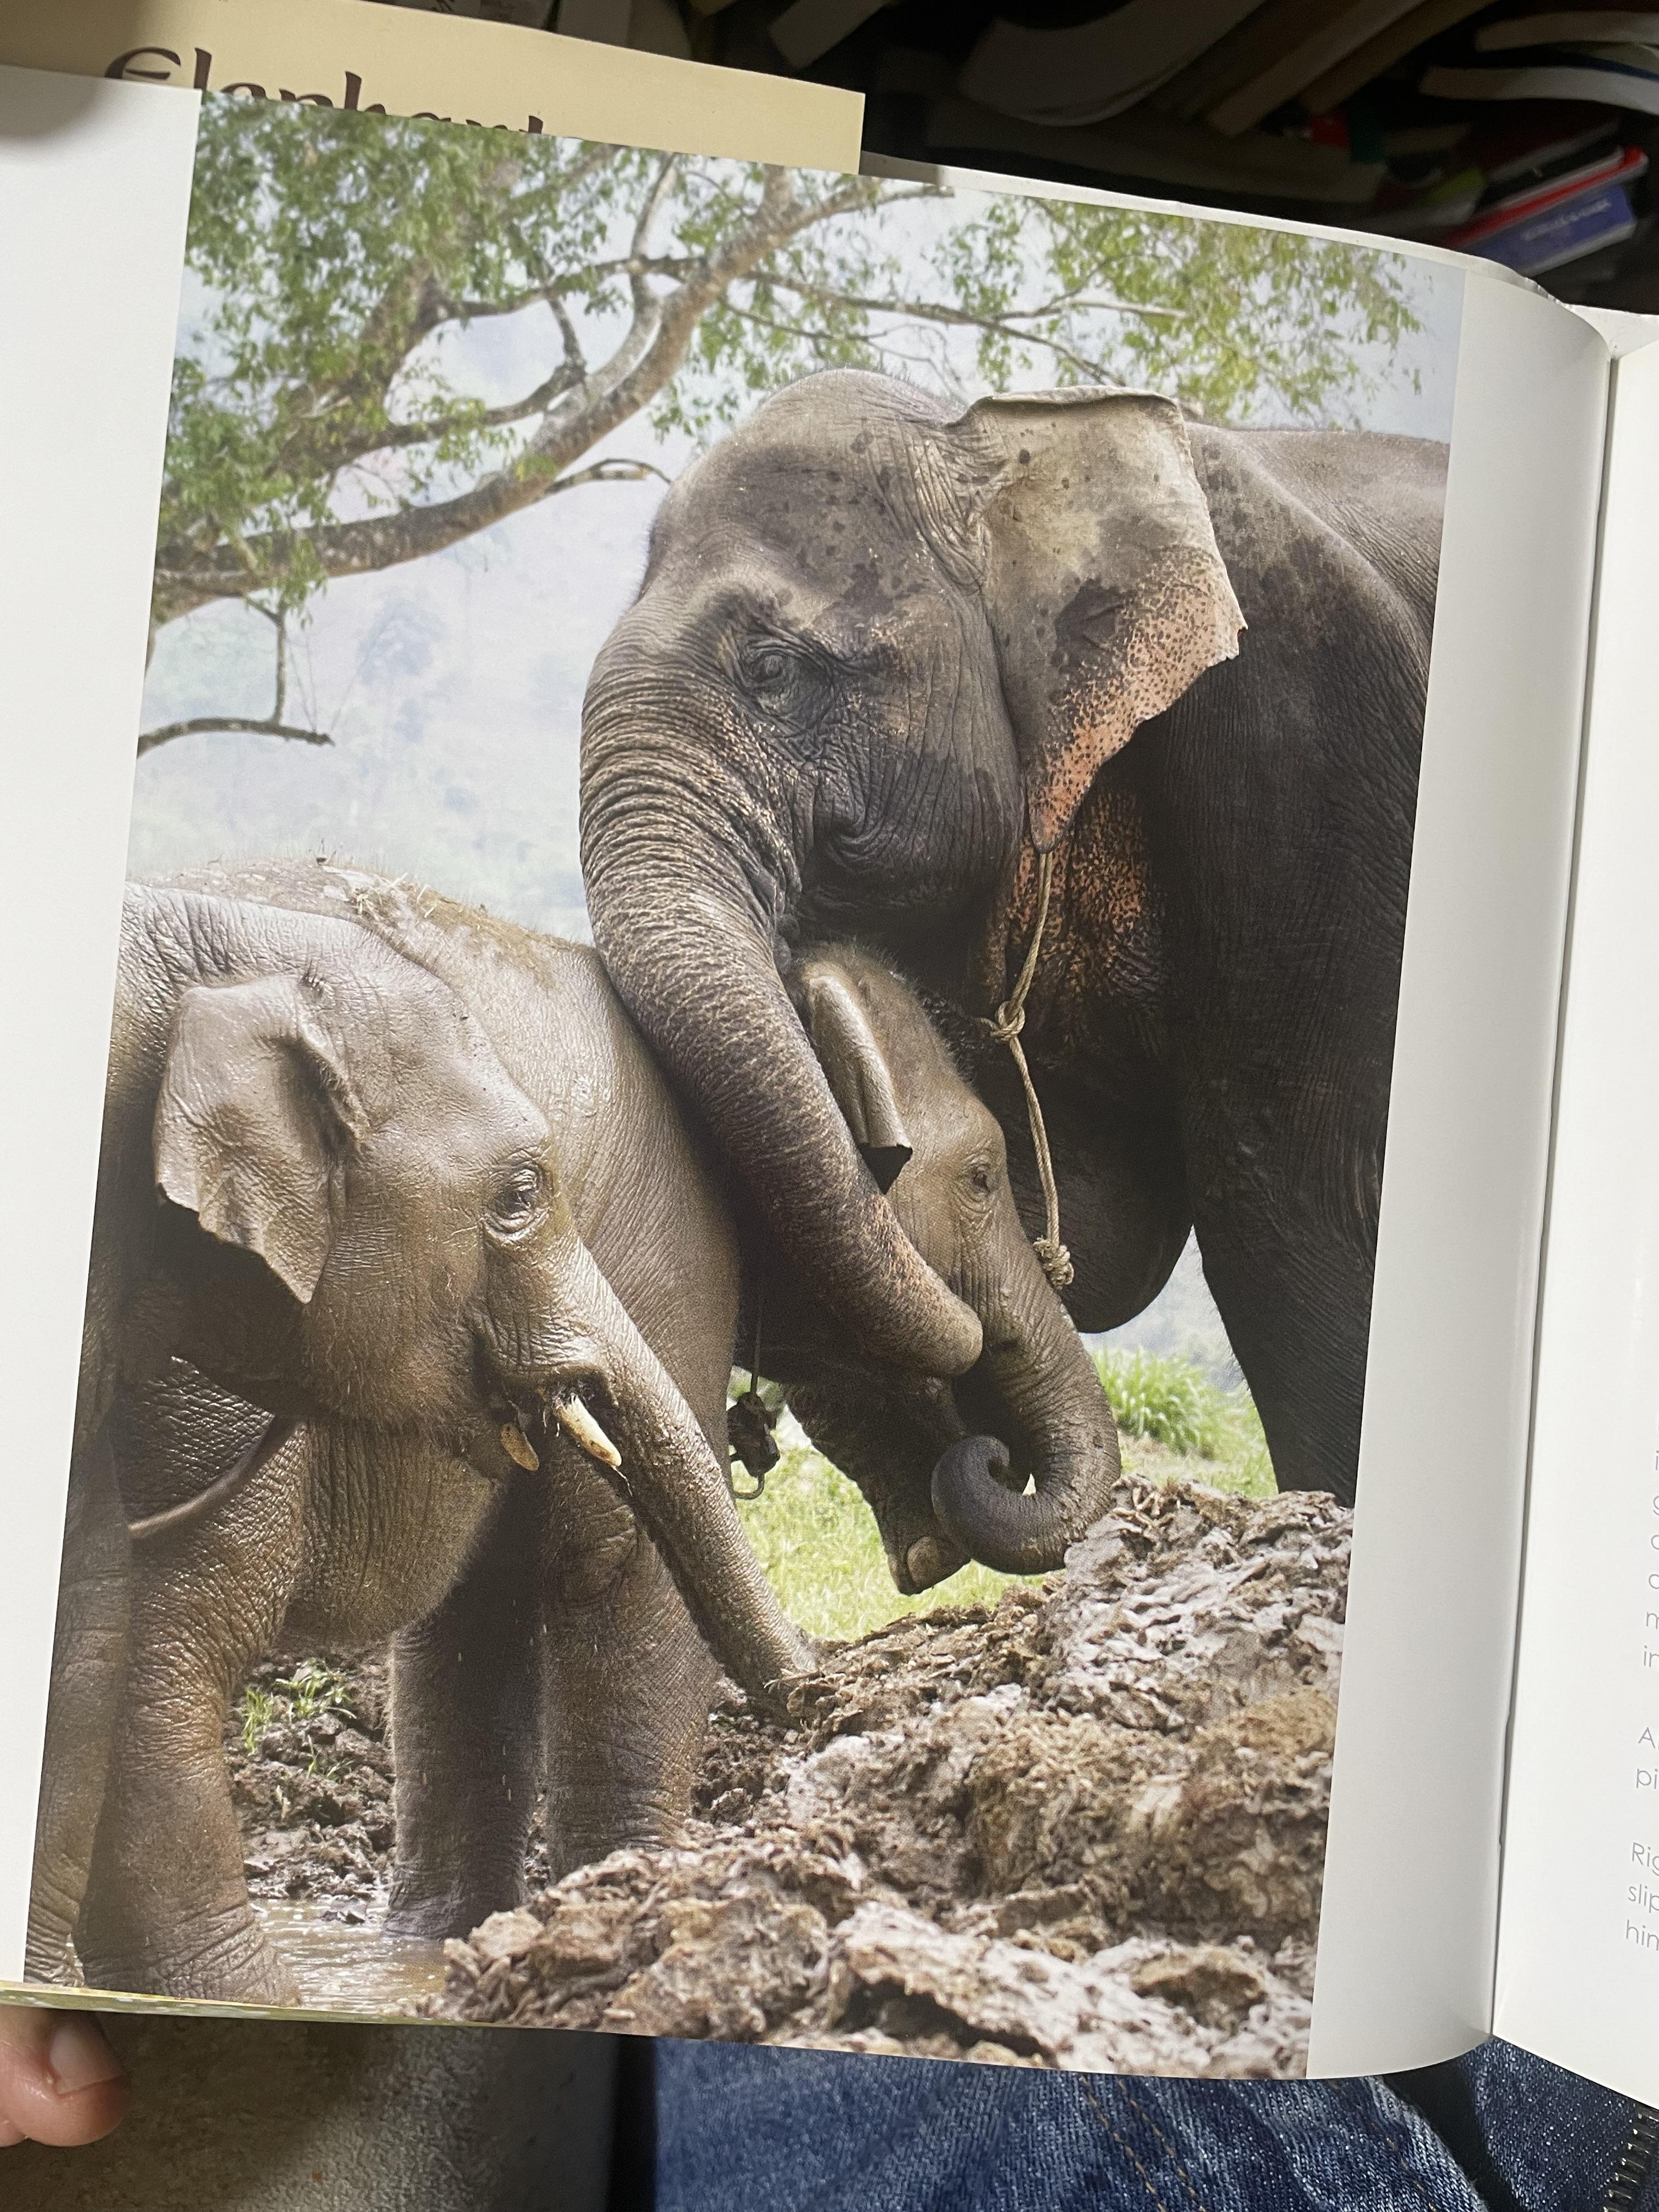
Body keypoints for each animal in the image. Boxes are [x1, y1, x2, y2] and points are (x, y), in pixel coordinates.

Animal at [32, 863, 1119, 1999]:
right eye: (984, 1177)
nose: (838, 1699)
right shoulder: (673, 1249)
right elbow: (612, 1563)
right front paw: (629, 1895)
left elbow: (472, 1623)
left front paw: (447, 1942)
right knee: (174, 1645)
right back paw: (232, 1989)